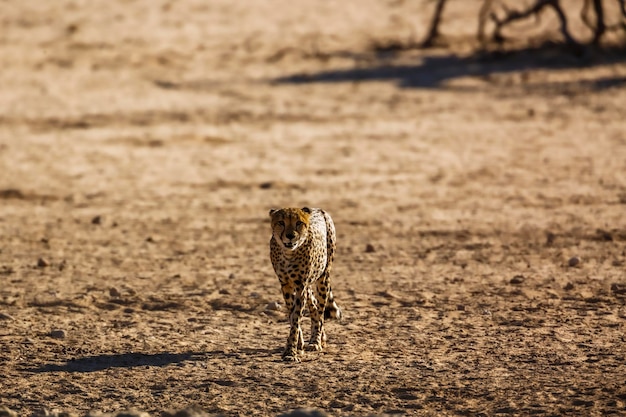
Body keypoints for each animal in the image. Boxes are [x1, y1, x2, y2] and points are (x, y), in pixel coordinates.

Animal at [268, 207, 342, 360]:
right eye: (281, 222)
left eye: (298, 223)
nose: (290, 236)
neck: (288, 254)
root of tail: (318, 209)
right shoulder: (286, 285)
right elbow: (292, 315)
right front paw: (298, 345)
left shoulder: (300, 285)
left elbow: (296, 317)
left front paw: (291, 352)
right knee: (313, 304)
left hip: (324, 277)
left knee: (320, 311)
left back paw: (316, 341)